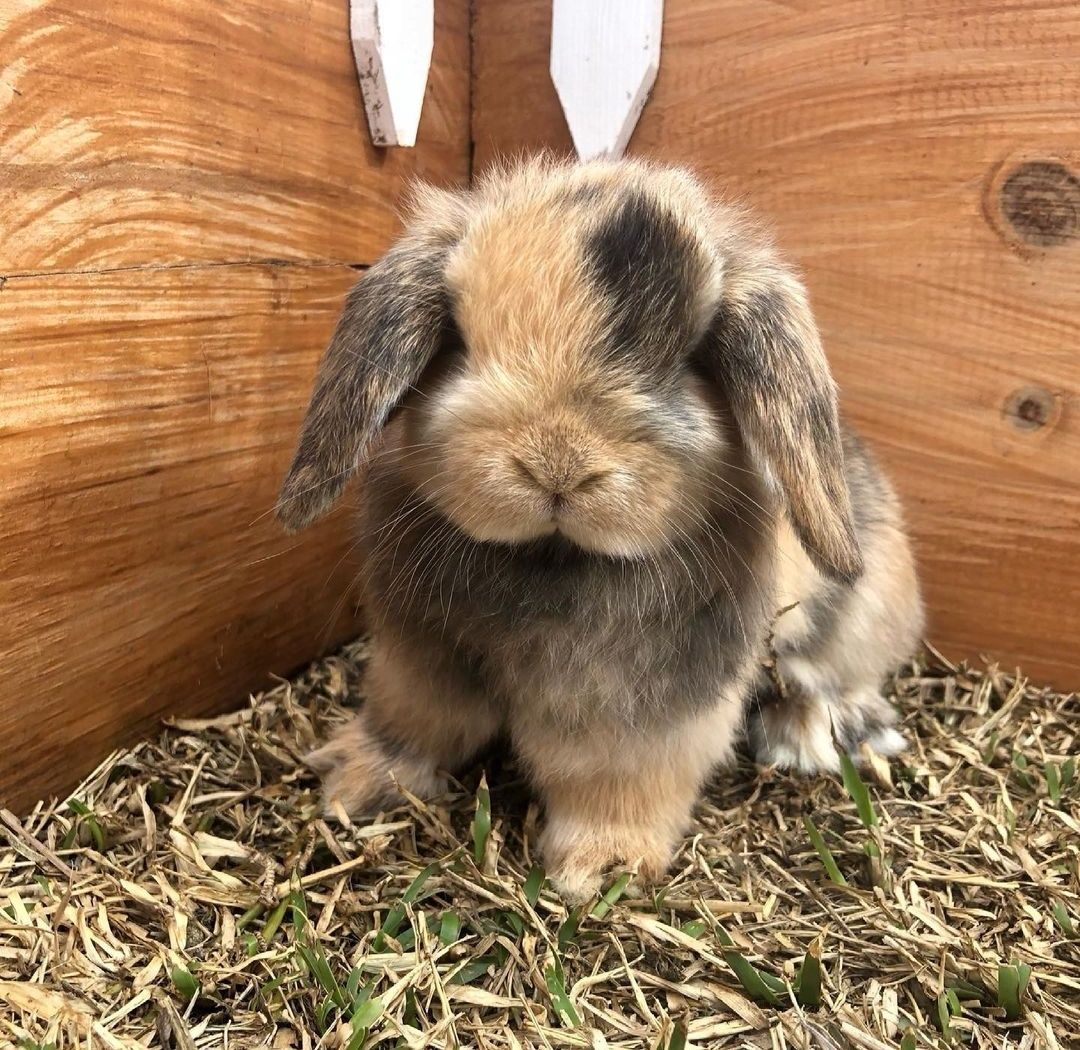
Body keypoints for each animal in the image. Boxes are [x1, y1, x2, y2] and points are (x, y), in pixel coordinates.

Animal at [274, 155, 924, 903]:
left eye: (693, 358)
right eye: (459, 338)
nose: (557, 465)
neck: (548, 561)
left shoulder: (646, 715)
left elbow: (618, 784)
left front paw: (600, 868)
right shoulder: (419, 659)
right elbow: (413, 723)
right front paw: (352, 780)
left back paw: (815, 732)